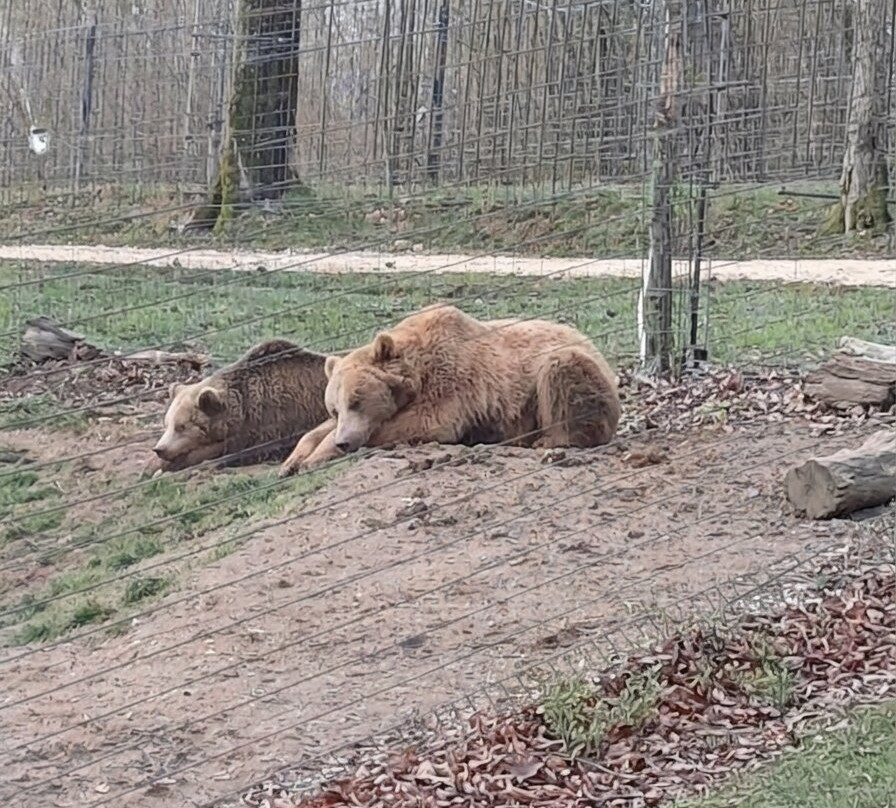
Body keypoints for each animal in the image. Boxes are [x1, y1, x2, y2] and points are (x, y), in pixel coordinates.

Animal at [278, 304, 620, 474]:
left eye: (357, 400)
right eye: (334, 407)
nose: (345, 441)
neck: (416, 374)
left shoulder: (454, 385)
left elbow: (423, 423)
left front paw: (314, 458)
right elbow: (317, 431)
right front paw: (293, 460)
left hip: (565, 370)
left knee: (562, 374)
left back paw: (548, 439)